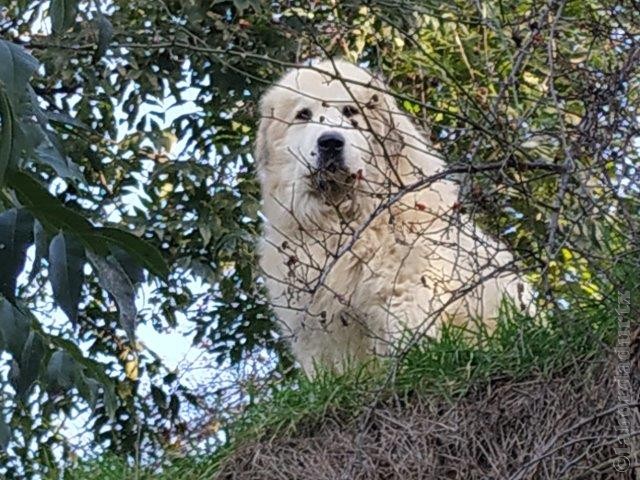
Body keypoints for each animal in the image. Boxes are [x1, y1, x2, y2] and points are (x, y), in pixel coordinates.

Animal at [255, 59, 528, 376]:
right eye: (303, 115)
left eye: (350, 111)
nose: (331, 142)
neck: (345, 222)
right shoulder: (314, 329)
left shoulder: (405, 294)